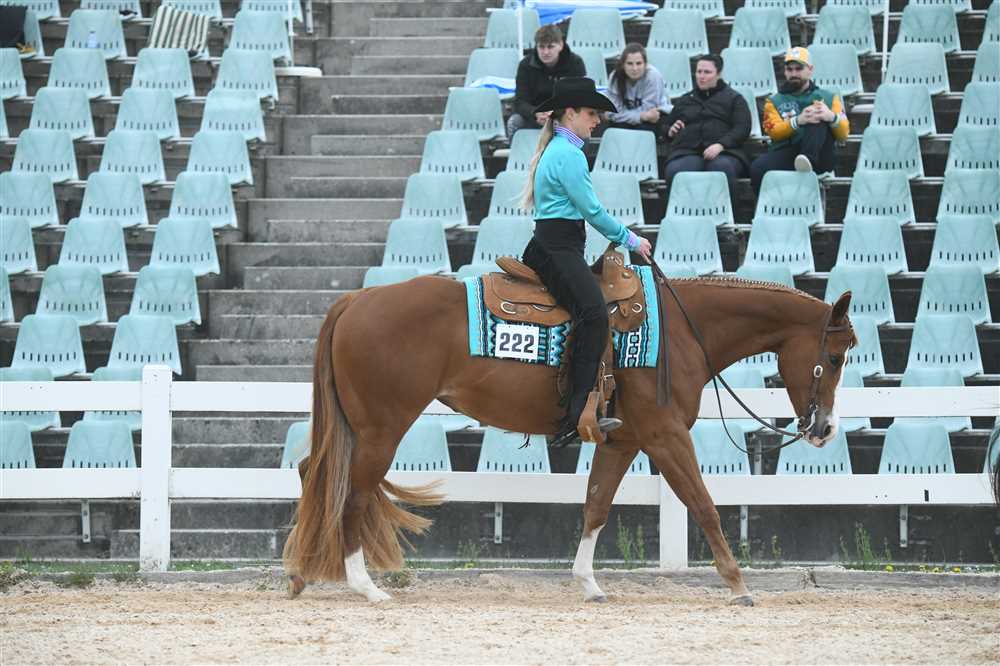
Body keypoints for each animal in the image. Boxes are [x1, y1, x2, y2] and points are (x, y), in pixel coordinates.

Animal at [282, 273, 857, 605]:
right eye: (833, 358)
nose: (825, 428)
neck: (680, 330)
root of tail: (357, 299)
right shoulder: (666, 435)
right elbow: (703, 504)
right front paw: (738, 584)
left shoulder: (622, 441)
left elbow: (596, 506)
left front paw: (589, 583)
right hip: (382, 428)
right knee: (352, 493)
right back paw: (365, 587)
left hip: (360, 427)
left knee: (316, 473)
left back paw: (302, 575)